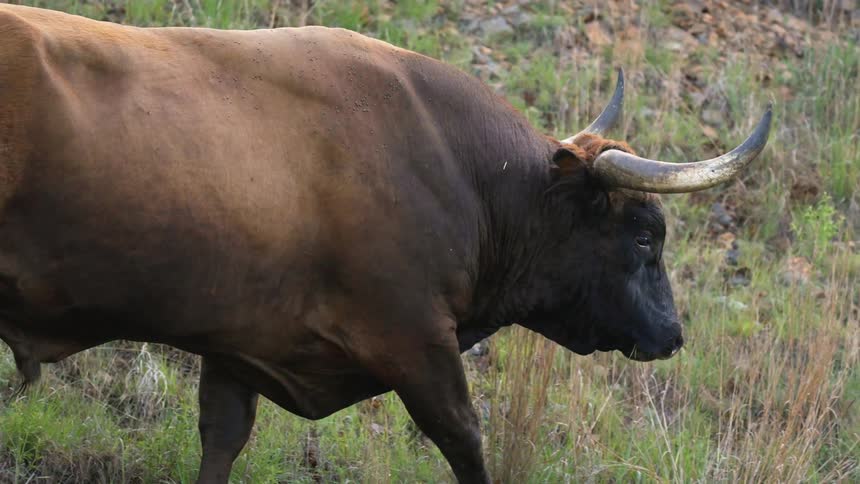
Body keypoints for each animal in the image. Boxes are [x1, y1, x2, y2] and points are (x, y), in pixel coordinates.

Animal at [0, 5, 770, 483]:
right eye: (643, 237)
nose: (673, 334)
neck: (461, 173)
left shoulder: (235, 343)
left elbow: (221, 440)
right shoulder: (415, 338)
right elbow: (465, 439)